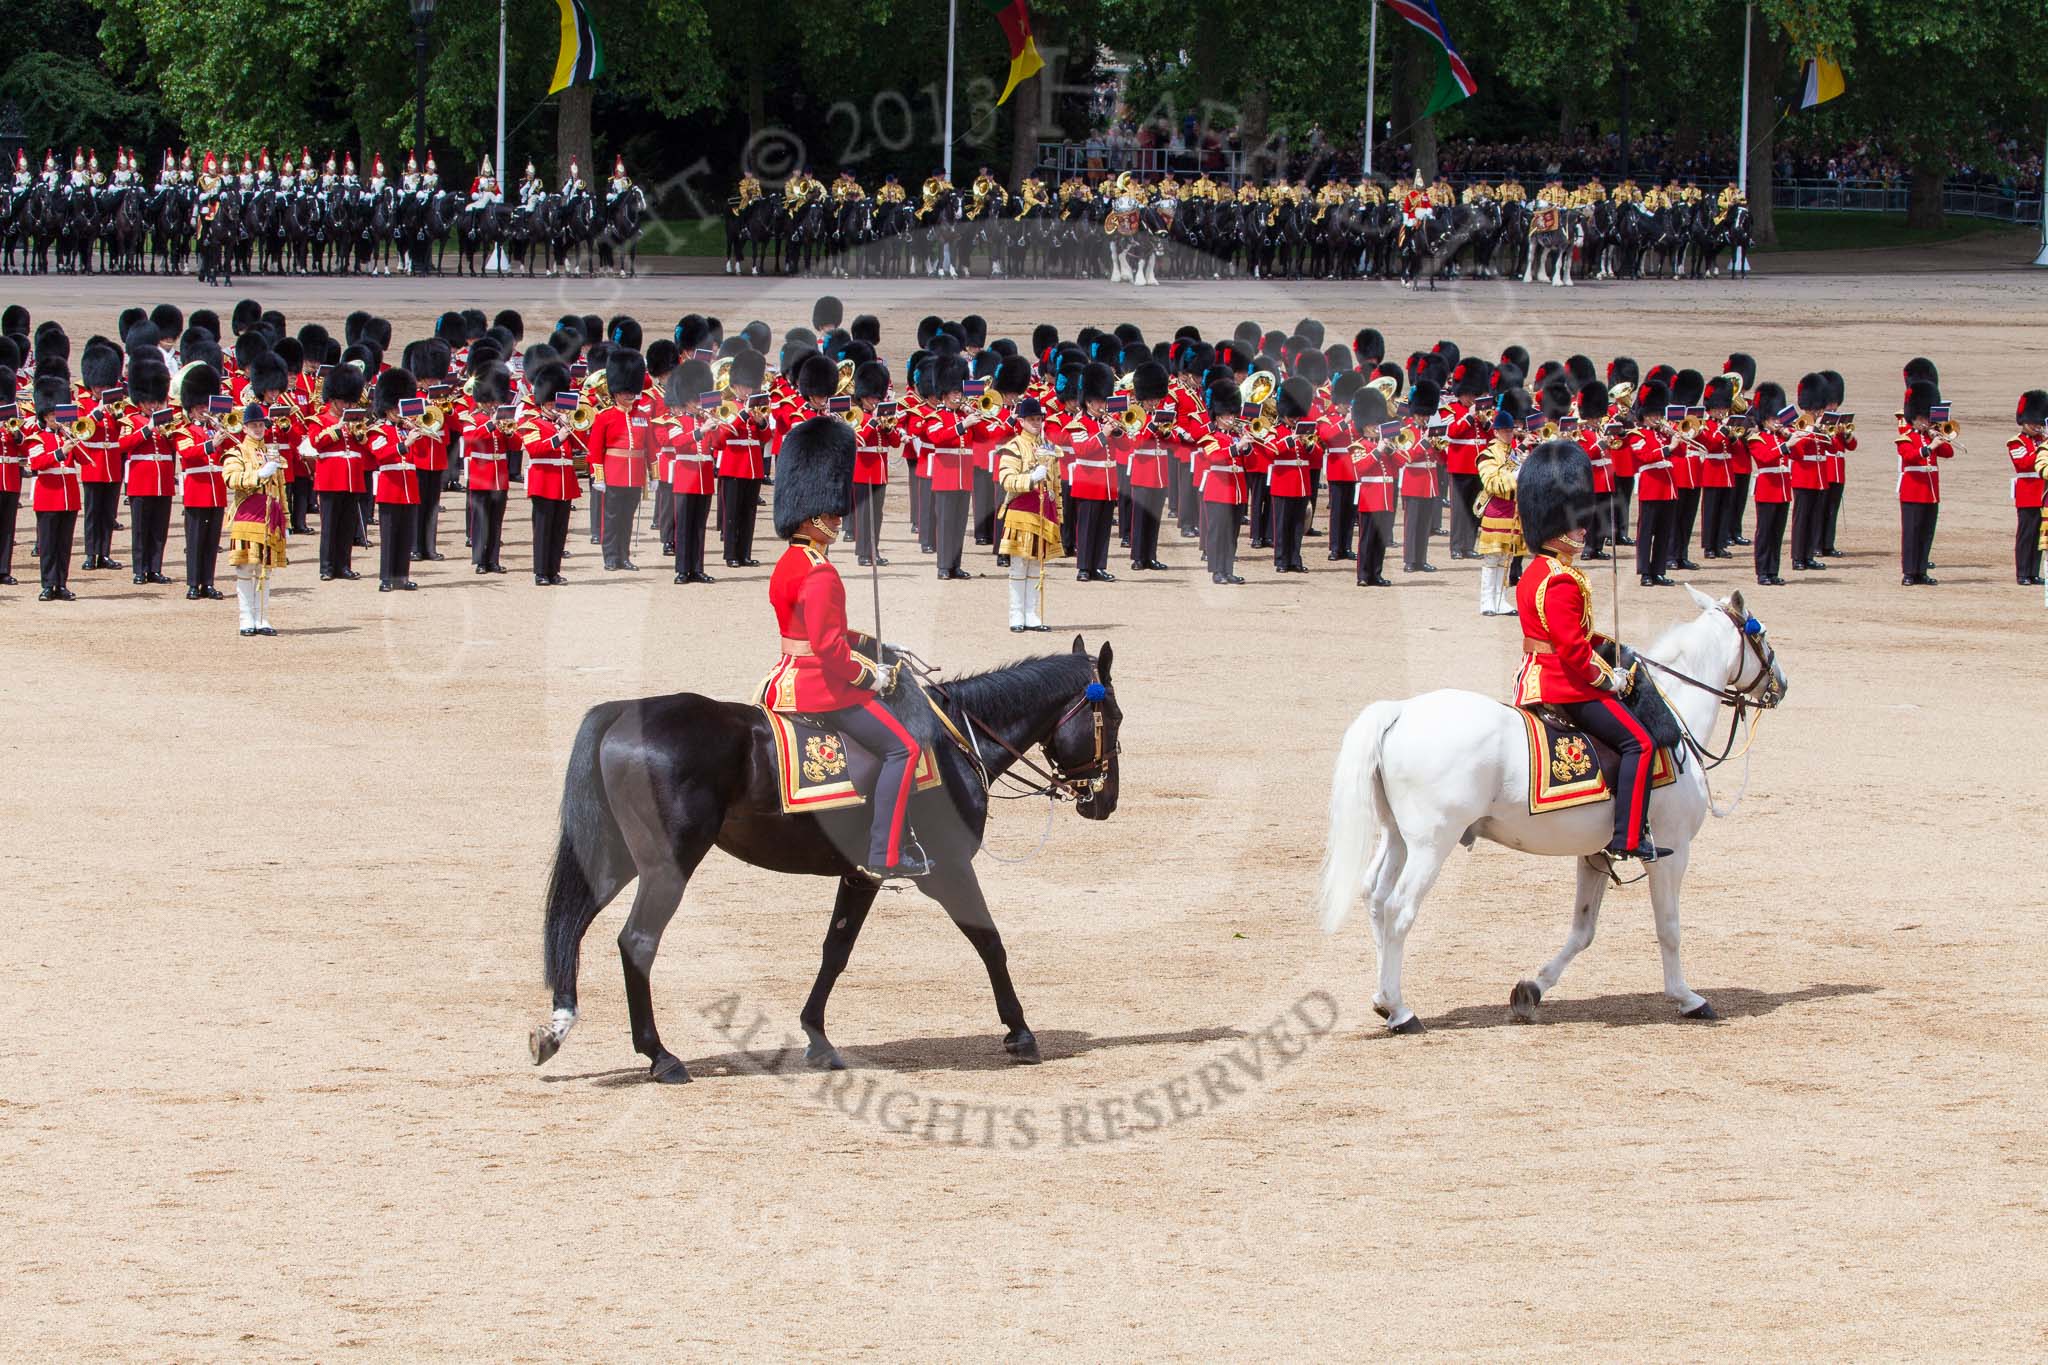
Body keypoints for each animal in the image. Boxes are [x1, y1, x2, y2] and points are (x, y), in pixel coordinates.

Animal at [528, 638, 1122, 1080]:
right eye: (1113, 717)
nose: (1105, 801)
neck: (955, 744)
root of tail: (624, 712)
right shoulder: (950, 870)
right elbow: (990, 942)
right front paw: (1020, 1032)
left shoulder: (862, 876)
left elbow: (835, 951)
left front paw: (817, 1037)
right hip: (666, 866)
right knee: (637, 942)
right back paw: (661, 1056)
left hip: (614, 859)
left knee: (572, 925)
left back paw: (556, 1028)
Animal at [1318, 589, 1785, 1035]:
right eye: (1761, 635)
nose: (1780, 684)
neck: (1671, 721)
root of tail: (1401, 711)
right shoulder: (1671, 852)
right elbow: (1668, 928)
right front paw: (1688, 998)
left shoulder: (1596, 854)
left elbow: (1583, 930)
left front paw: (1532, 989)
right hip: (1432, 844)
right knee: (1399, 909)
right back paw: (1400, 1011)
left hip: (1398, 838)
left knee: (1376, 899)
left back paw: (1383, 1000)